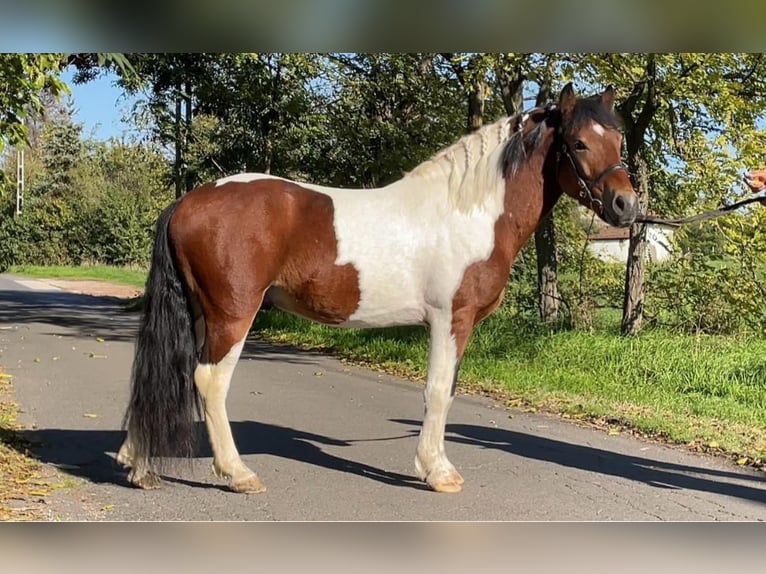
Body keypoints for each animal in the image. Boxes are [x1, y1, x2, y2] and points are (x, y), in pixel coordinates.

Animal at [117, 83, 640, 498]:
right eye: (578, 142)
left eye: (618, 139)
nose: (626, 206)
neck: (470, 211)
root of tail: (189, 201)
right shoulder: (451, 319)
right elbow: (438, 391)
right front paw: (437, 471)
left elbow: (447, 390)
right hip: (232, 314)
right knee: (209, 381)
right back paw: (237, 473)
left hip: (200, 311)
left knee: (170, 373)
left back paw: (138, 465)